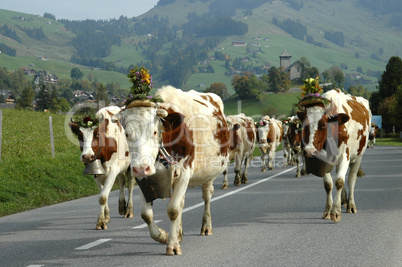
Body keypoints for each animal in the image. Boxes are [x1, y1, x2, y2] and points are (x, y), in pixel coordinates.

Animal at [114, 87, 231, 256]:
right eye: (127, 134)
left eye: (155, 132)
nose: (141, 168)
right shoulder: (144, 179)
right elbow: (146, 214)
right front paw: (163, 236)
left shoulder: (184, 173)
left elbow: (173, 210)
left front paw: (173, 245)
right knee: (181, 202)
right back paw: (179, 233)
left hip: (208, 175)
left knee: (207, 197)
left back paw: (206, 227)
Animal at [296, 90, 370, 224]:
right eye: (304, 125)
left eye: (323, 125)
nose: (309, 151)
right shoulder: (323, 161)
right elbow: (328, 184)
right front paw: (328, 210)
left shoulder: (344, 156)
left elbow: (340, 181)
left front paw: (335, 212)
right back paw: (343, 200)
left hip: (358, 156)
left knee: (351, 179)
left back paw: (351, 204)